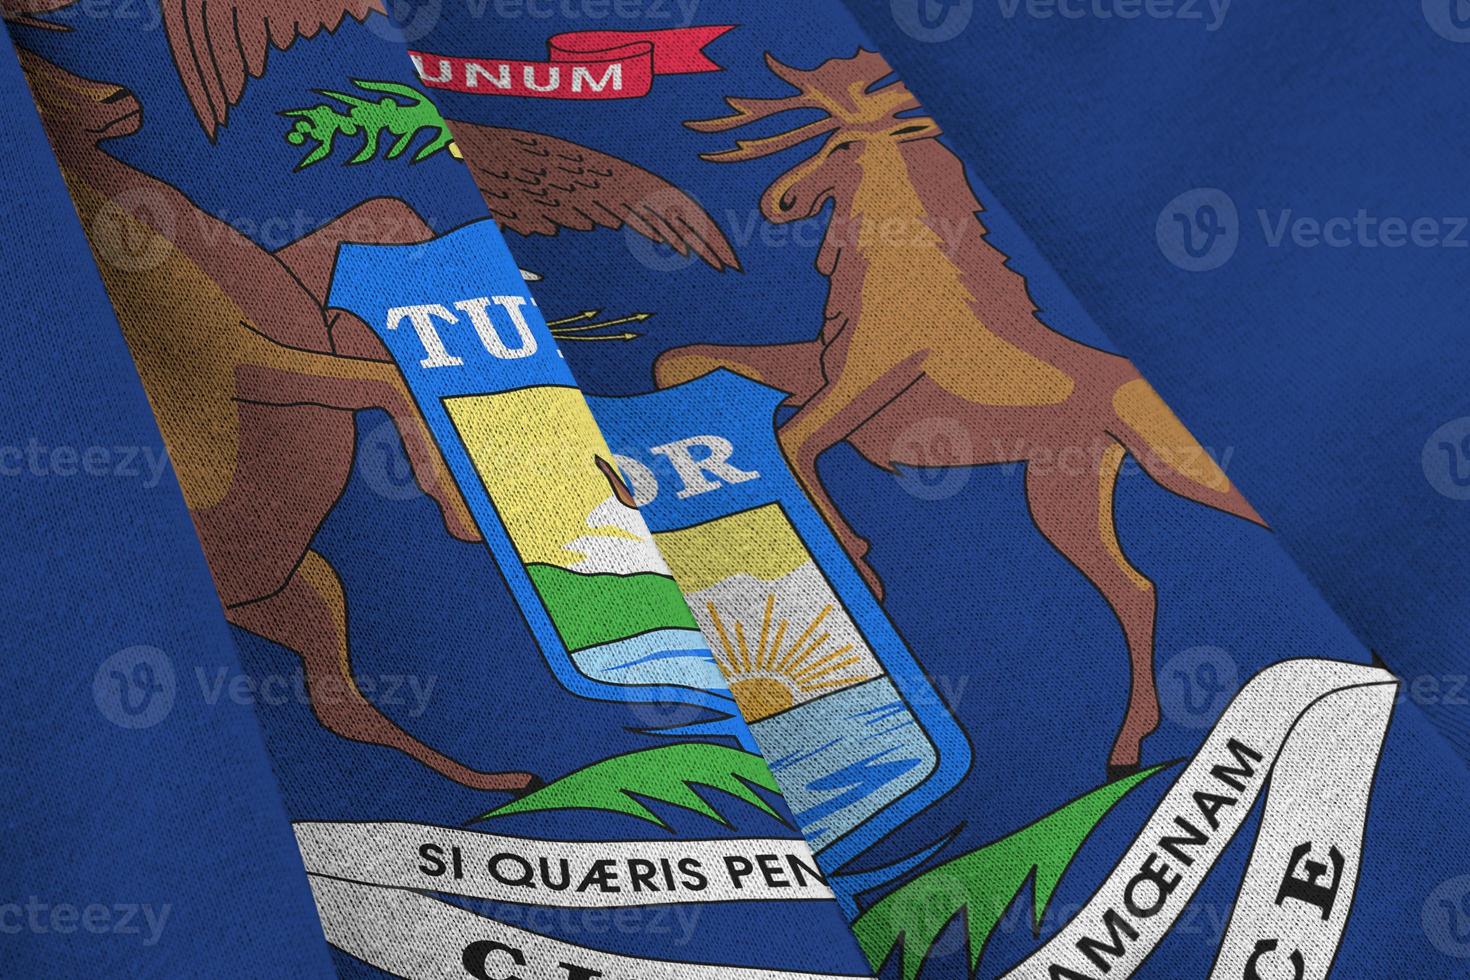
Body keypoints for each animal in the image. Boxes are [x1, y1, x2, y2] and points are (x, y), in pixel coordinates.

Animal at [21, 49, 535, 793]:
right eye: (38, 80)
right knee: (337, 708)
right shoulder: (253, 364)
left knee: (339, 708)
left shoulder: (305, 310)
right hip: (295, 592)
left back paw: (502, 780)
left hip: (307, 587)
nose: (122, 100)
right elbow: (385, 378)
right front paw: (466, 513)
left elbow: (385, 228)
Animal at [655, 53, 1264, 775]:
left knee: (1152, 575)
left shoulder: (867, 380)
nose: (777, 203)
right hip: (1074, 486)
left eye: (844, 147)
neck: (890, 272)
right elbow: (685, 363)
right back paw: (1131, 742)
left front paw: (860, 564)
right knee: (1136, 588)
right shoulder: (823, 369)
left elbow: (793, 438)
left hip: (1091, 486)